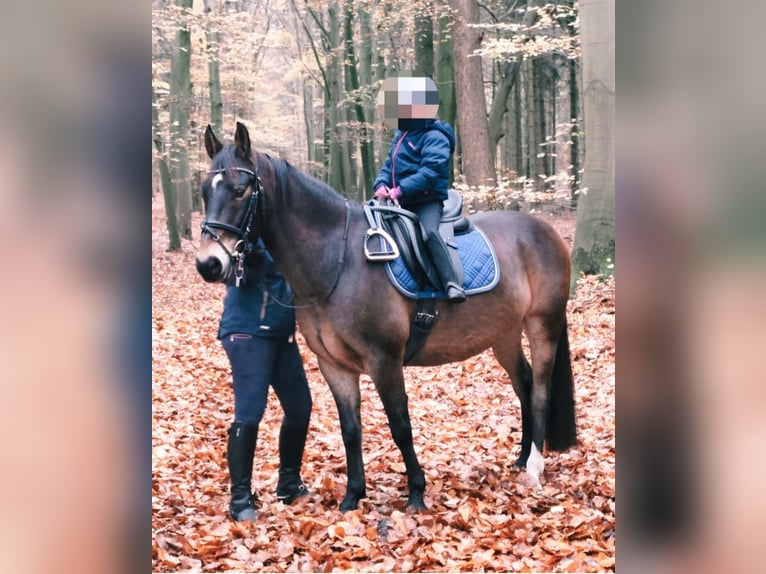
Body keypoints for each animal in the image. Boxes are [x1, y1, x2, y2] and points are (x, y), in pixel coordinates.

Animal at [195, 122, 577, 511]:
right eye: (203, 192)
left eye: (240, 191)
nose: (209, 264)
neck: (338, 260)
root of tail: (544, 231)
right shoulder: (334, 366)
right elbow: (351, 430)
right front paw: (352, 496)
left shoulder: (384, 359)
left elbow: (400, 425)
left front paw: (416, 493)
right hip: (504, 332)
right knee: (524, 384)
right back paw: (521, 458)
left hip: (543, 324)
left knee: (540, 390)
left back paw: (534, 467)